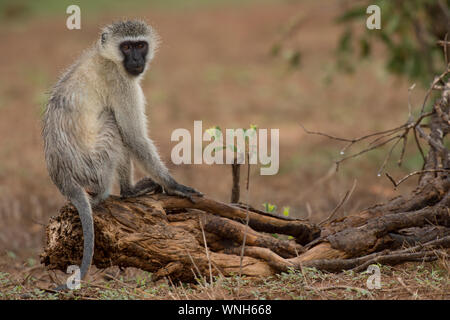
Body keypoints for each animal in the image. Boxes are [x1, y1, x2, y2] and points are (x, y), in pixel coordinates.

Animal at [42, 20, 202, 290]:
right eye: (127, 47)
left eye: (140, 45)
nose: (136, 58)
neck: (108, 58)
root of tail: (65, 181)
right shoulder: (121, 83)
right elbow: (133, 136)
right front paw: (174, 185)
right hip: (93, 168)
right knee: (113, 125)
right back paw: (127, 192)